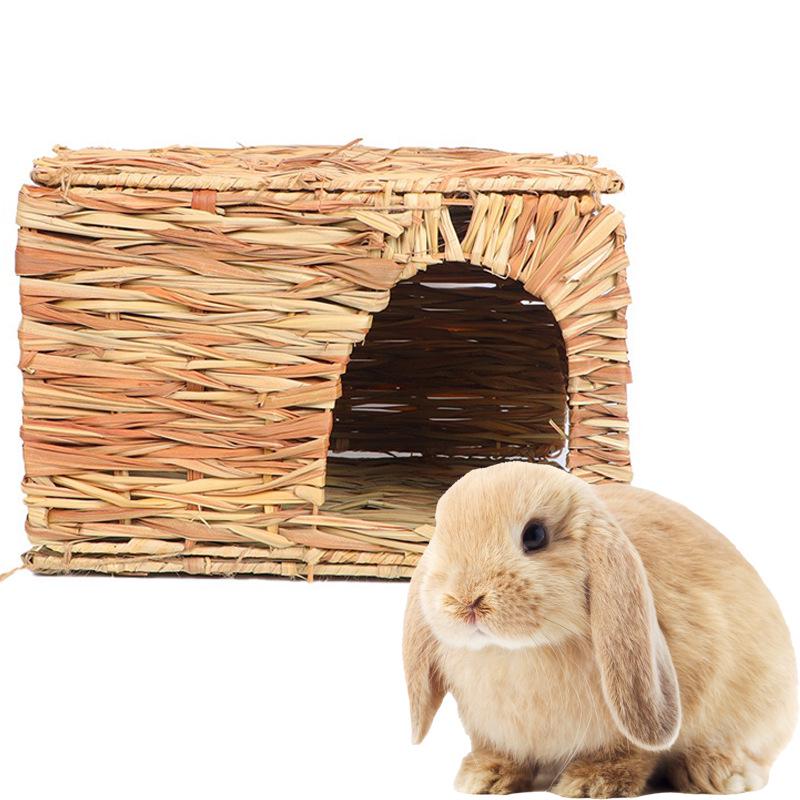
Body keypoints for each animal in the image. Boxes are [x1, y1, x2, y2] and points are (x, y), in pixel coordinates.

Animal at [403, 462, 796, 797]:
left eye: (535, 535)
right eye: (442, 534)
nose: (465, 600)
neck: (518, 651)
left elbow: (632, 751)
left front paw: (593, 782)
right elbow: (499, 751)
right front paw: (483, 777)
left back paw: (719, 773)